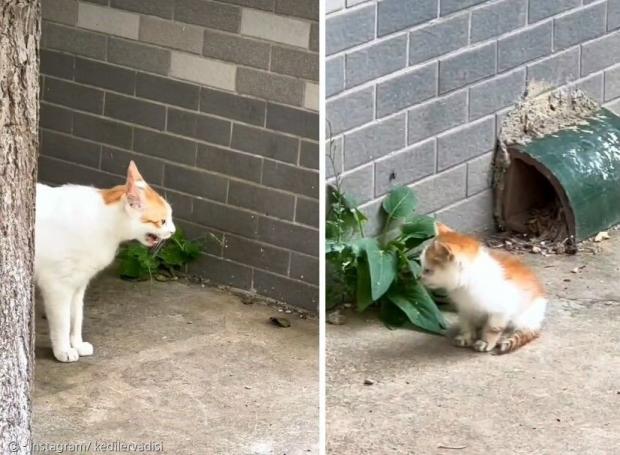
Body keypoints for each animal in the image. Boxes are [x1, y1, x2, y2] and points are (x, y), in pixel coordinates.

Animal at [35, 162, 176, 362]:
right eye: (162, 221)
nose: (173, 231)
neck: (103, 223)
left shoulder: (78, 284)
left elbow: (77, 317)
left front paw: (77, 344)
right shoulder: (57, 286)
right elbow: (63, 323)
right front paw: (63, 350)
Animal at [422, 224, 548, 356]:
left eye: (427, 270)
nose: (419, 278)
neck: (468, 283)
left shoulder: (502, 307)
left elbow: (493, 327)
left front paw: (487, 342)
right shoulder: (465, 306)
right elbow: (466, 322)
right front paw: (466, 336)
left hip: (528, 315)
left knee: (527, 330)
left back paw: (507, 337)